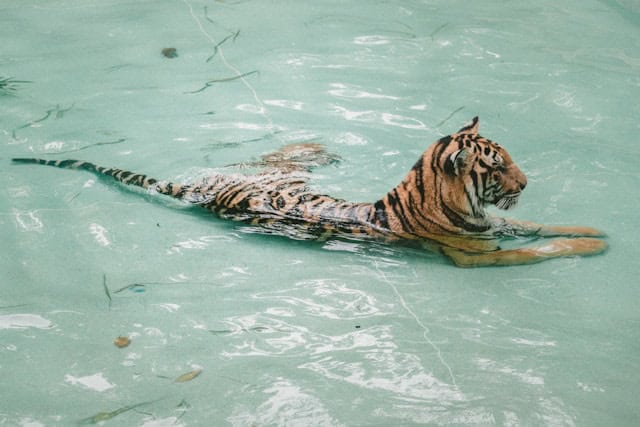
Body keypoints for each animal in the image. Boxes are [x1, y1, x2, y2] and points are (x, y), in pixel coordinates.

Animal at [12, 117, 607, 267]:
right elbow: (542, 248)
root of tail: (197, 190)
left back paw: (316, 146)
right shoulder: (477, 254)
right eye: (498, 166)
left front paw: (595, 228)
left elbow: (543, 226)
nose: (526, 183)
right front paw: (591, 245)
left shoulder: (496, 225)